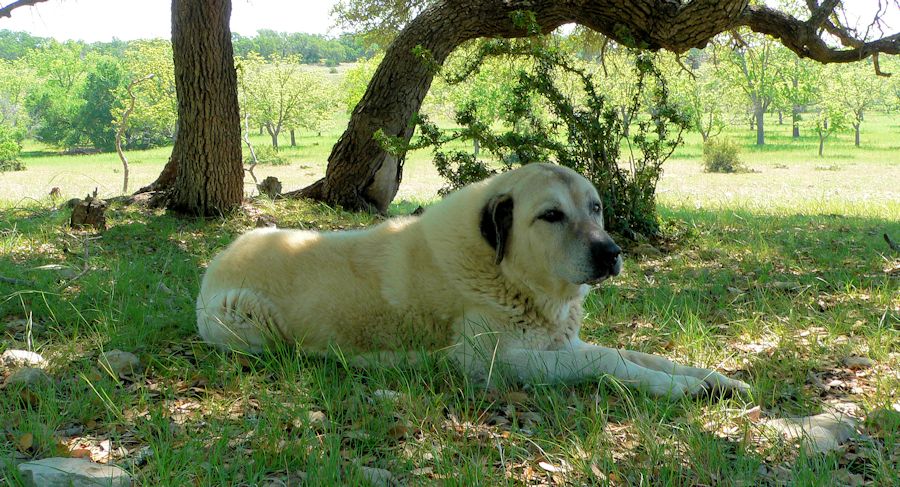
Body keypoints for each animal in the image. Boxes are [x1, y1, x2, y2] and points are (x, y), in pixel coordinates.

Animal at [199, 162, 752, 398]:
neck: (508, 273)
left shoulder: (558, 343)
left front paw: (716, 379)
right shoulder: (498, 361)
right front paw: (677, 388)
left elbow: (636, 353)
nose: (612, 252)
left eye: (595, 208)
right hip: (246, 320)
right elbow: (606, 361)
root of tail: (218, 259)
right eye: (551, 216)